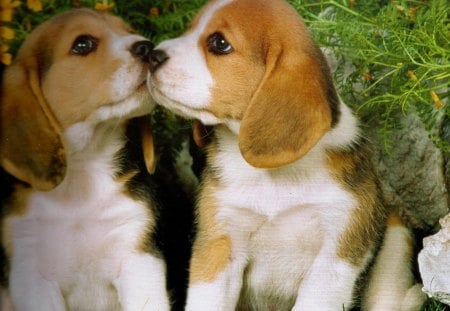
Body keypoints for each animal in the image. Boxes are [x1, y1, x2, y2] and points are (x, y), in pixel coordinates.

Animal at [0, 8, 171, 310]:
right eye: (83, 44)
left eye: (130, 31)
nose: (147, 48)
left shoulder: (139, 260)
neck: (86, 163)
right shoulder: (33, 274)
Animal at [147, 0, 426, 310]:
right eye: (188, 29)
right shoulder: (219, 244)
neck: (273, 177)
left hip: (396, 232)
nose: (151, 55)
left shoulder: (333, 255)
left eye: (219, 43)